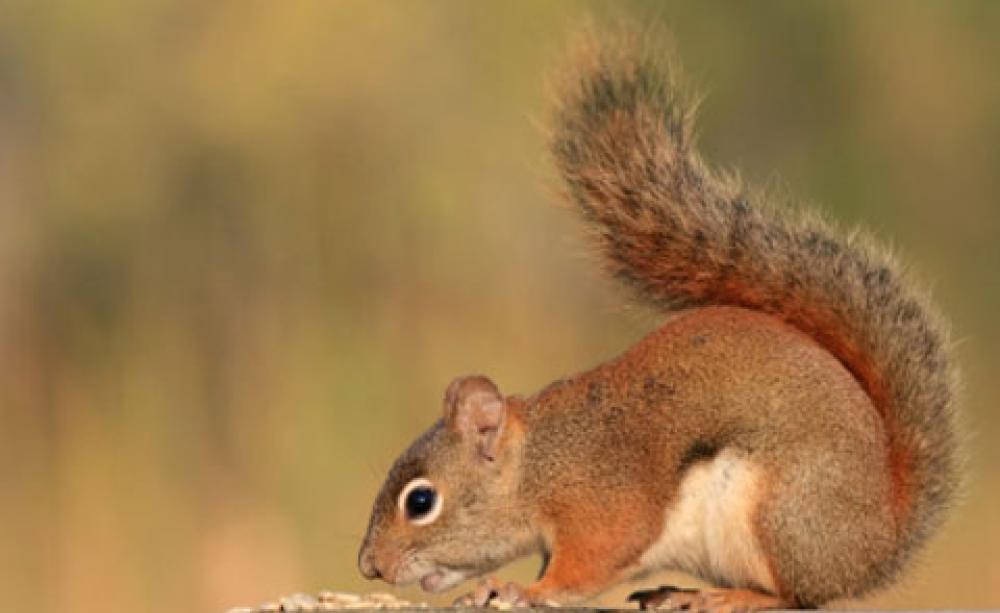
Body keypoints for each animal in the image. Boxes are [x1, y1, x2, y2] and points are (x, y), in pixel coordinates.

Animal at [357, 28, 960, 611]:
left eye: (421, 500)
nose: (369, 567)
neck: (538, 464)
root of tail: (879, 541)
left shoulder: (600, 505)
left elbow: (583, 569)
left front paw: (519, 589)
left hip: (780, 514)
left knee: (795, 596)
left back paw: (726, 596)